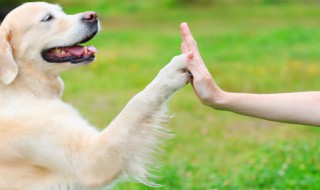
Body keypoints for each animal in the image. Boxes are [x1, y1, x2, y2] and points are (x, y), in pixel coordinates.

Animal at [0, 1, 189, 190]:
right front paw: (172, 71)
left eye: (61, 12)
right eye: (47, 18)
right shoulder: (91, 160)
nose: (93, 16)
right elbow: (138, 102)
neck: (25, 88)